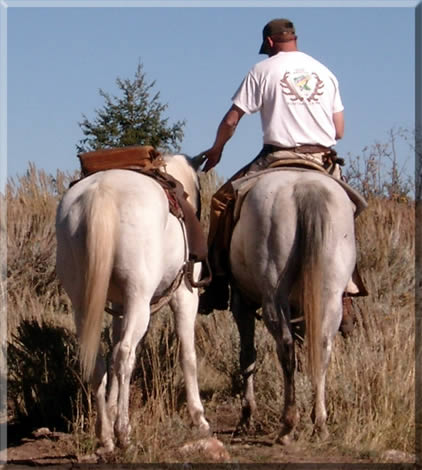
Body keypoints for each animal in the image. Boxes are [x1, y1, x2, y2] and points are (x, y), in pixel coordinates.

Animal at [229, 170, 358, 444]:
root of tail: (306, 189)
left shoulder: (242, 304)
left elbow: (247, 355)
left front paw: (246, 415)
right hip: (329, 294)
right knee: (321, 347)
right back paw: (319, 423)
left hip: (273, 296)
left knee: (285, 348)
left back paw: (288, 425)